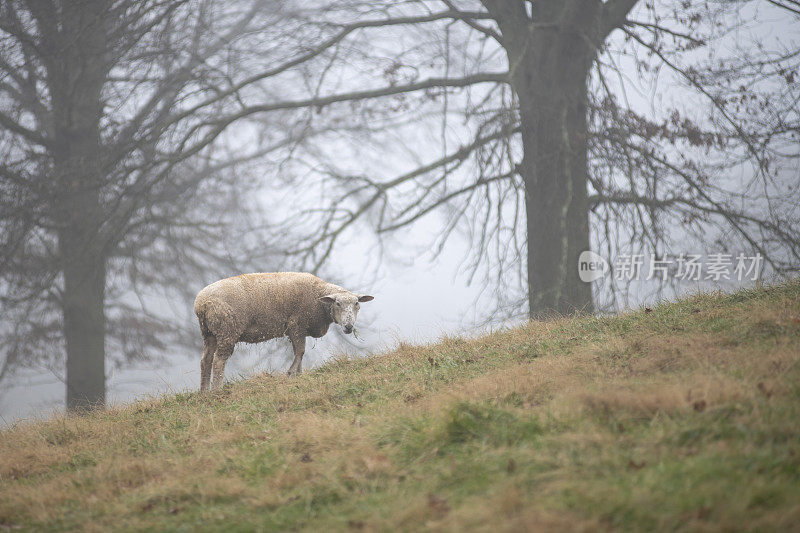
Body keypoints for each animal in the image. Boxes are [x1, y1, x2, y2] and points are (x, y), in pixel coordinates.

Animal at [194, 270, 376, 390]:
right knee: (218, 361)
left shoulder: (297, 329)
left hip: (209, 333)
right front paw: (291, 373)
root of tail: (201, 303)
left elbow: (299, 352)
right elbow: (300, 352)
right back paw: (217, 390)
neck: (318, 298)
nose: (349, 327)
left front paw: (299, 376)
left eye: (357, 304)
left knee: (205, 360)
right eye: (337, 303)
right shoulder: (297, 324)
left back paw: (204, 392)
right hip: (227, 330)